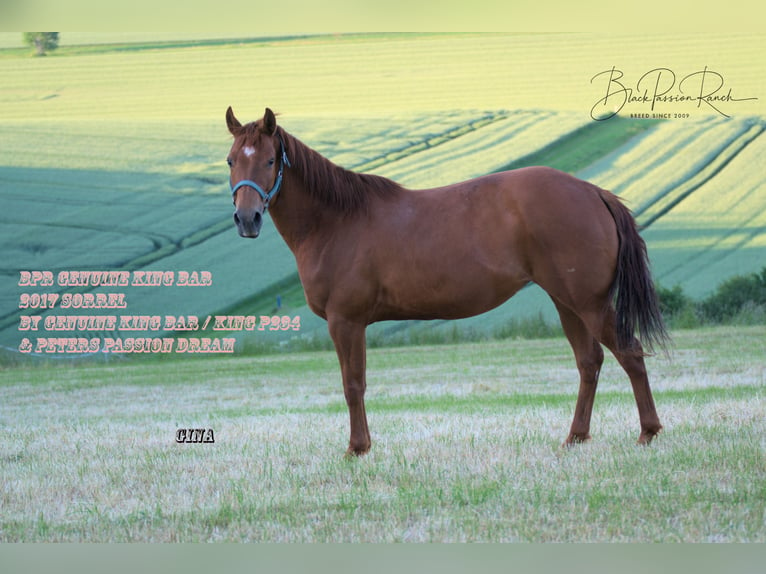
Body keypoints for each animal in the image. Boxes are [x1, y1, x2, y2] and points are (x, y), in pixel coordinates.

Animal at [225, 107, 668, 460]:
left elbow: (353, 384)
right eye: (230, 161)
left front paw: (357, 448)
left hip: (590, 303)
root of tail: (593, 191)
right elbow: (357, 384)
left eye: (269, 160)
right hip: (567, 302)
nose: (247, 220)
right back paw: (575, 437)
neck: (336, 220)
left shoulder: (345, 322)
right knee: (589, 362)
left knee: (630, 353)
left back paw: (648, 432)